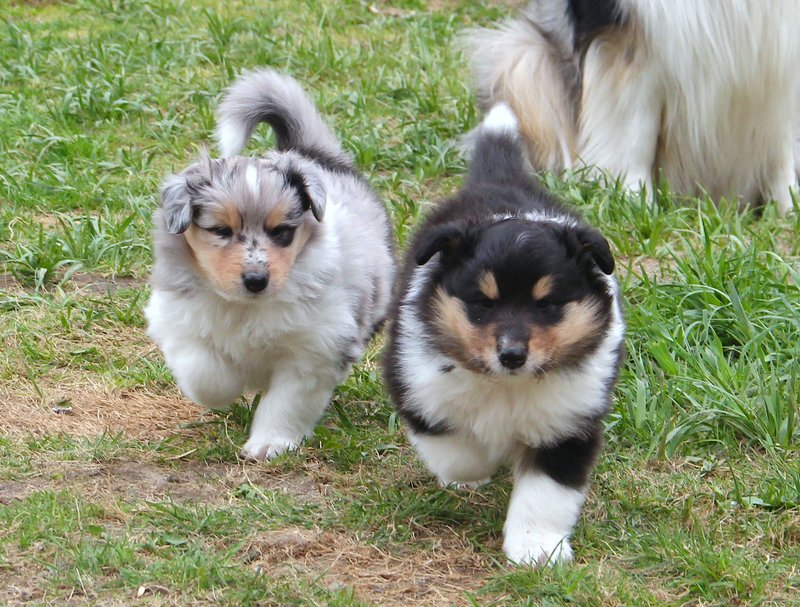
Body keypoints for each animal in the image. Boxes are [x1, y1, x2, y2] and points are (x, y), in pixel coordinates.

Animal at [145, 70, 396, 460]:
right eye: (221, 230)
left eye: (281, 232)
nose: (256, 280)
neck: (246, 307)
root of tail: (308, 152)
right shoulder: (177, 320)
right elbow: (205, 373)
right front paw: (230, 384)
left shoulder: (315, 348)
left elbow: (287, 403)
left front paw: (269, 443)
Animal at [386, 103, 624, 564]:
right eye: (484, 303)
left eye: (546, 304)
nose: (512, 355)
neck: (507, 385)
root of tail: (501, 180)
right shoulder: (416, 386)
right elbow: (459, 450)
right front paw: (474, 469)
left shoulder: (568, 421)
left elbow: (546, 493)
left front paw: (536, 550)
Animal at [466, 0, 800, 215]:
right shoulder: (626, 35)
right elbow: (635, 128)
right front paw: (634, 203)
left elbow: (780, 138)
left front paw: (787, 206)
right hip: (524, 60)